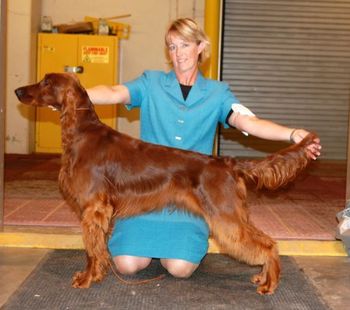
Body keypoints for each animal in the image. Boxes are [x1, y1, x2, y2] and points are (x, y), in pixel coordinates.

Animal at [15, 73, 318, 296]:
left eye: (46, 82)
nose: (18, 91)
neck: (81, 133)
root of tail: (228, 163)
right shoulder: (97, 211)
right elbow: (98, 248)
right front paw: (97, 274)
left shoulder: (93, 208)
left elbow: (91, 249)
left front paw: (87, 279)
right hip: (232, 214)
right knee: (267, 241)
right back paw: (263, 277)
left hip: (226, 217)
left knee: (267, 244)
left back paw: (270, 283)